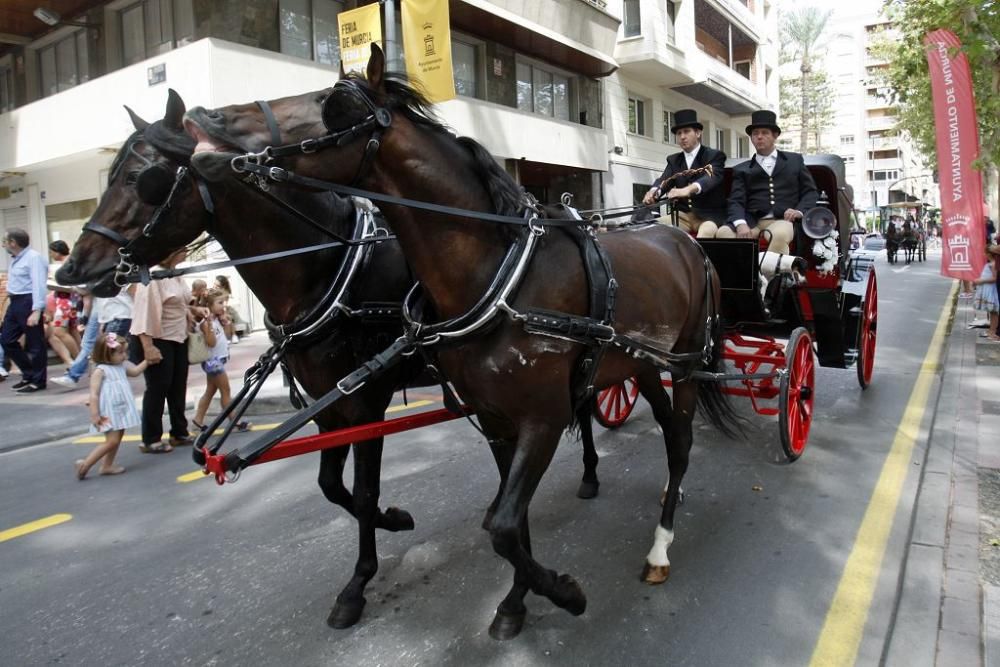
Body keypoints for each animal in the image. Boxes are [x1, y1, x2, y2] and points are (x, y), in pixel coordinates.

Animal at [186, 44, 736, 640]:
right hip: (638, 365)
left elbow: (501, 525)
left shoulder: (539, 418)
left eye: (332, 105)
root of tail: (683, 238)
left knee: (680, 441)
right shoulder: (493, 417)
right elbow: (509, 522)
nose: (206, 118)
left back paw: (660, 546)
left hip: (687, 363)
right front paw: (517, 601)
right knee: (664, 427)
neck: (500, 273)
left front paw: (565, 593)